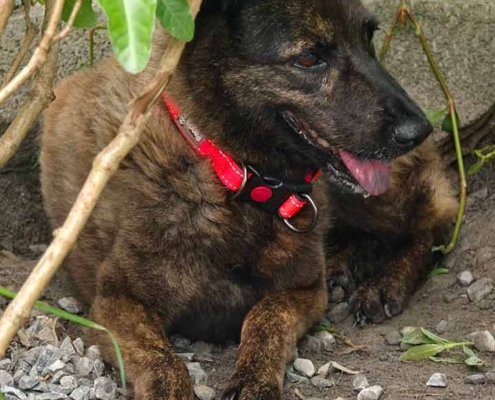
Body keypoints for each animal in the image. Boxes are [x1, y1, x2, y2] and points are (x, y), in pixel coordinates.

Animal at [40, 0, 456, 399]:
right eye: (309, 58)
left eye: (369, 39)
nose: (419, 129)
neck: (235, 178)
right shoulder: (115, 302)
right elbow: (161, 359)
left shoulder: (304, 292)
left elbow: (266, 317)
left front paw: (254, 379)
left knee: (434, 226)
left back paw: (384, 284)